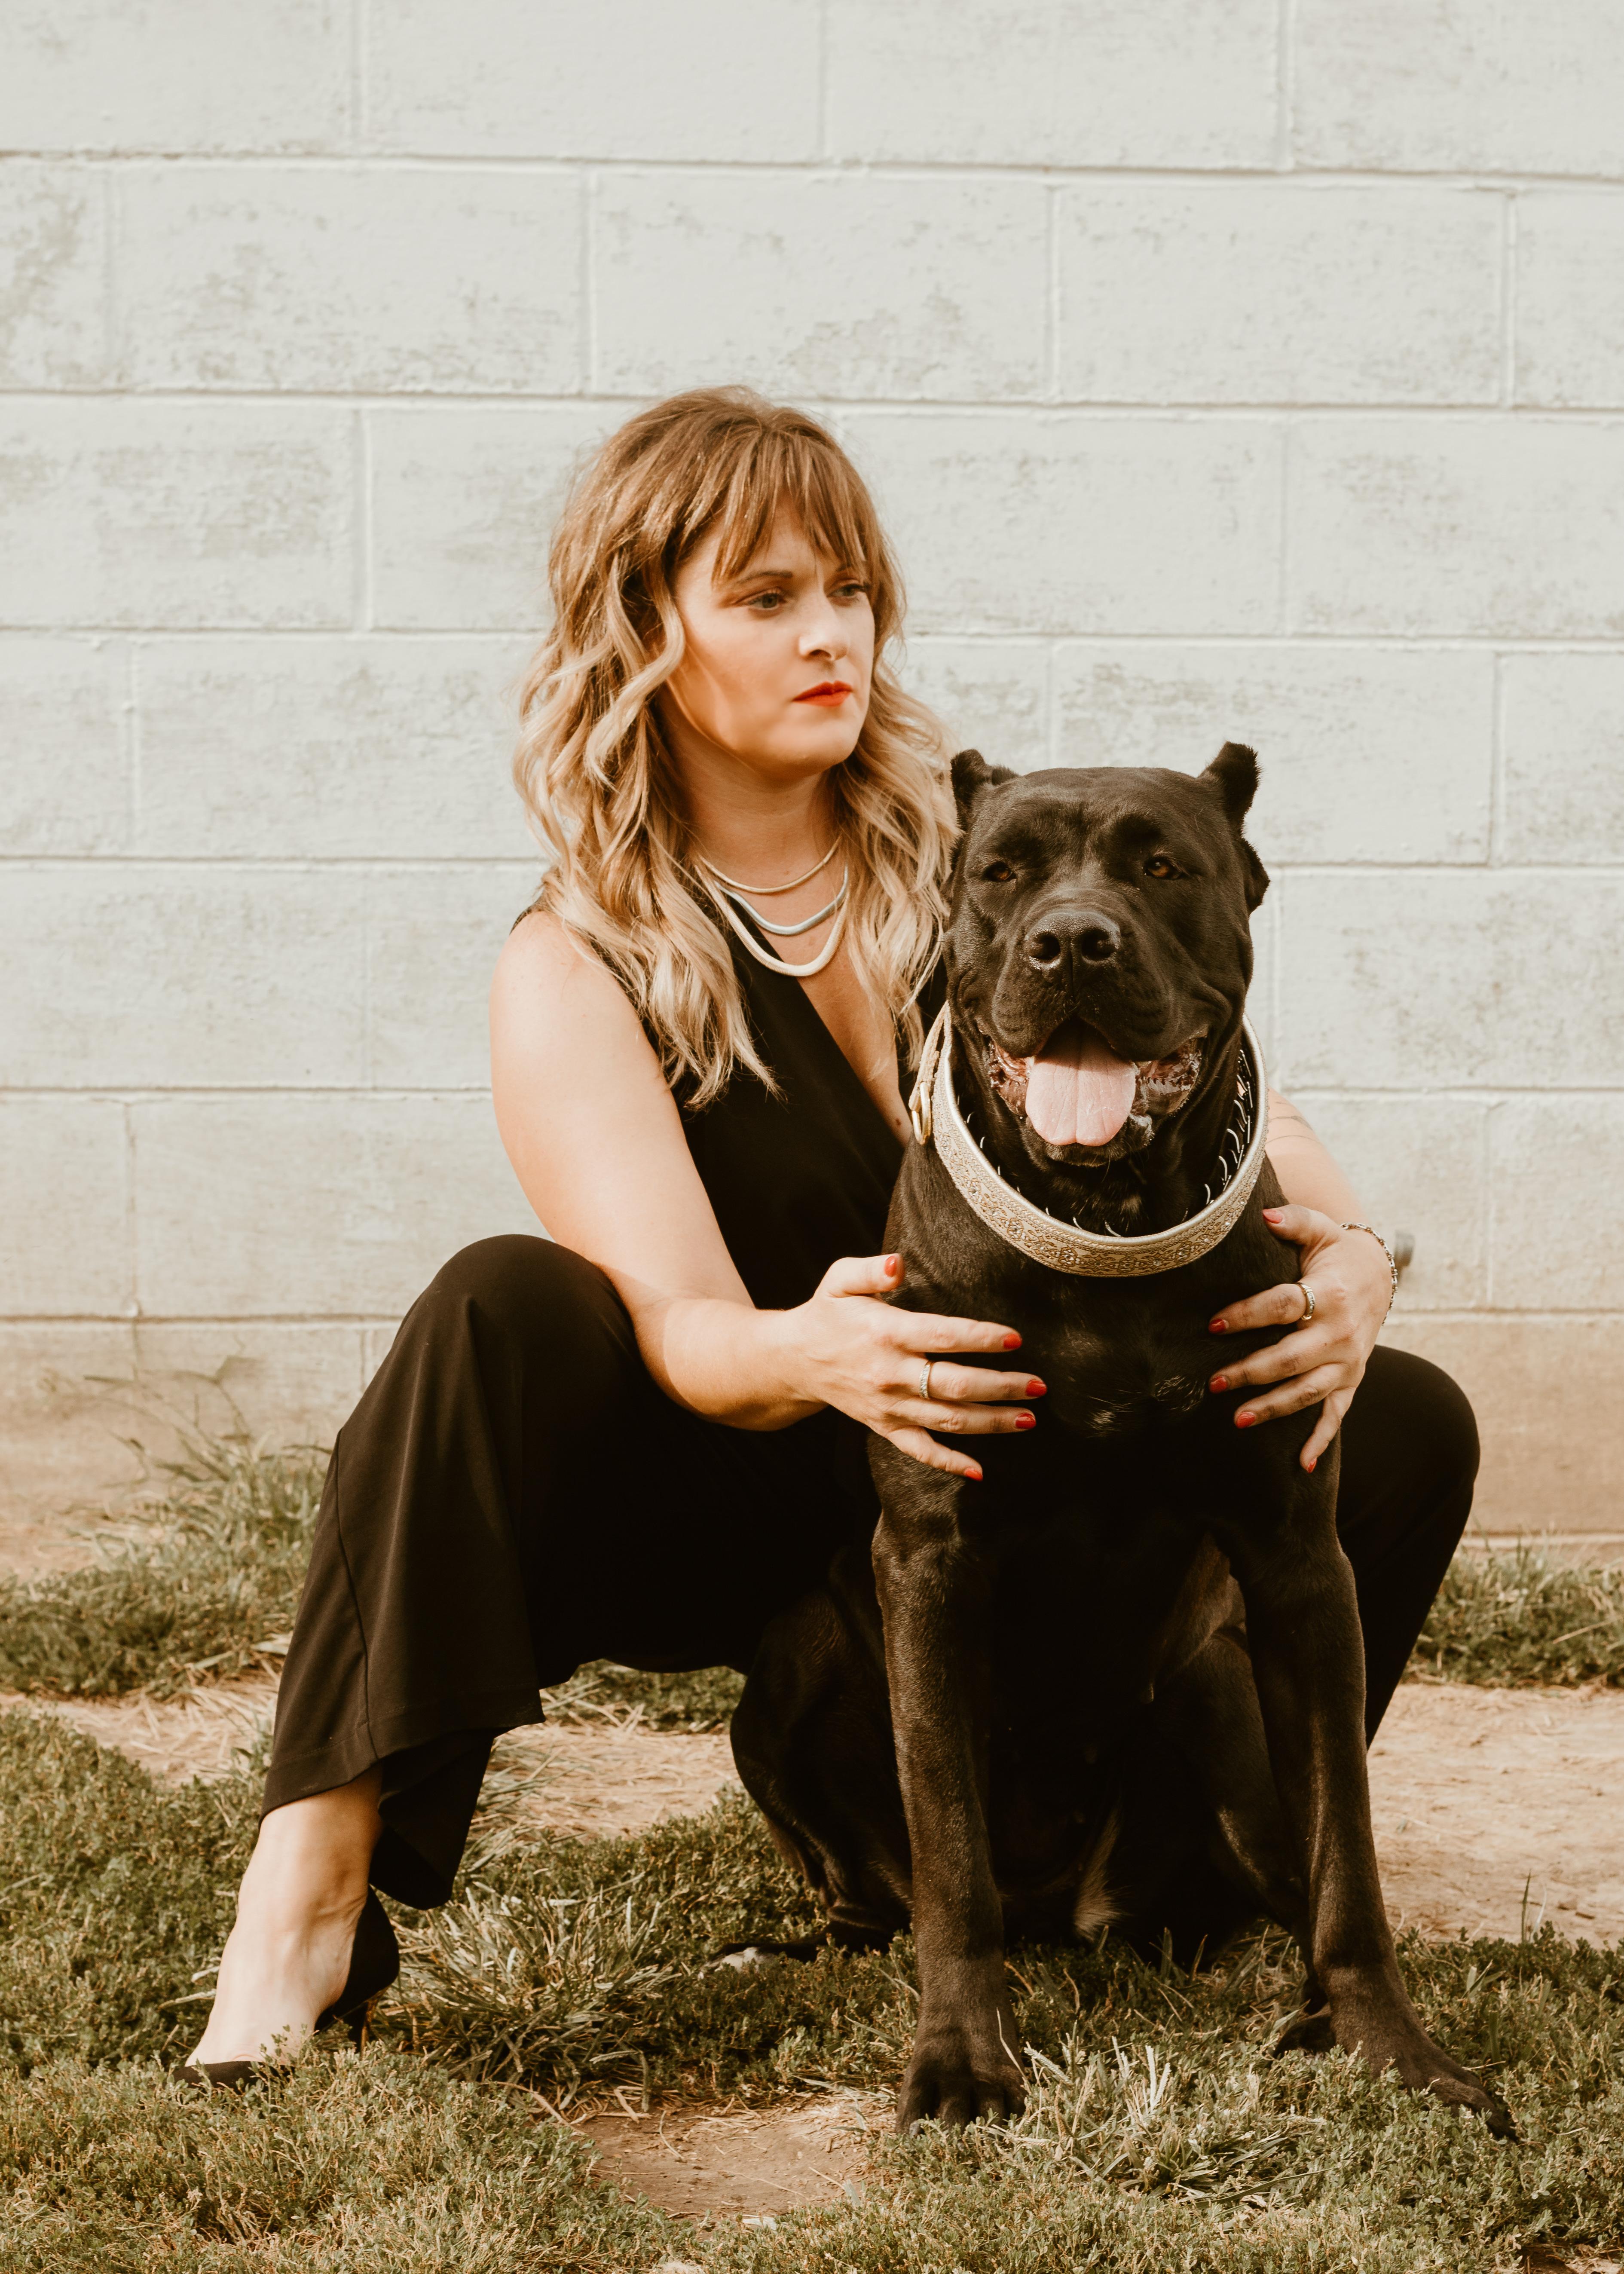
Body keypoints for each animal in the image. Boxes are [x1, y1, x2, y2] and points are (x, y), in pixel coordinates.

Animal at [730, 745, 1506, 2135]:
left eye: (1158, 864)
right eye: (1000, 872)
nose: (1070, 941)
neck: (1099, 1227)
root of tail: (1064, 1913)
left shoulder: (1296, 1560)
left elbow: (1346, 1852)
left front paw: (1392, 2048)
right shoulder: (928, 1555)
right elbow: (949, 1847)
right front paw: (959, 2059)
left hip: (1212, 1691)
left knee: (1269, 1868)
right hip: (789, 1664)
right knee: (886, 1882)